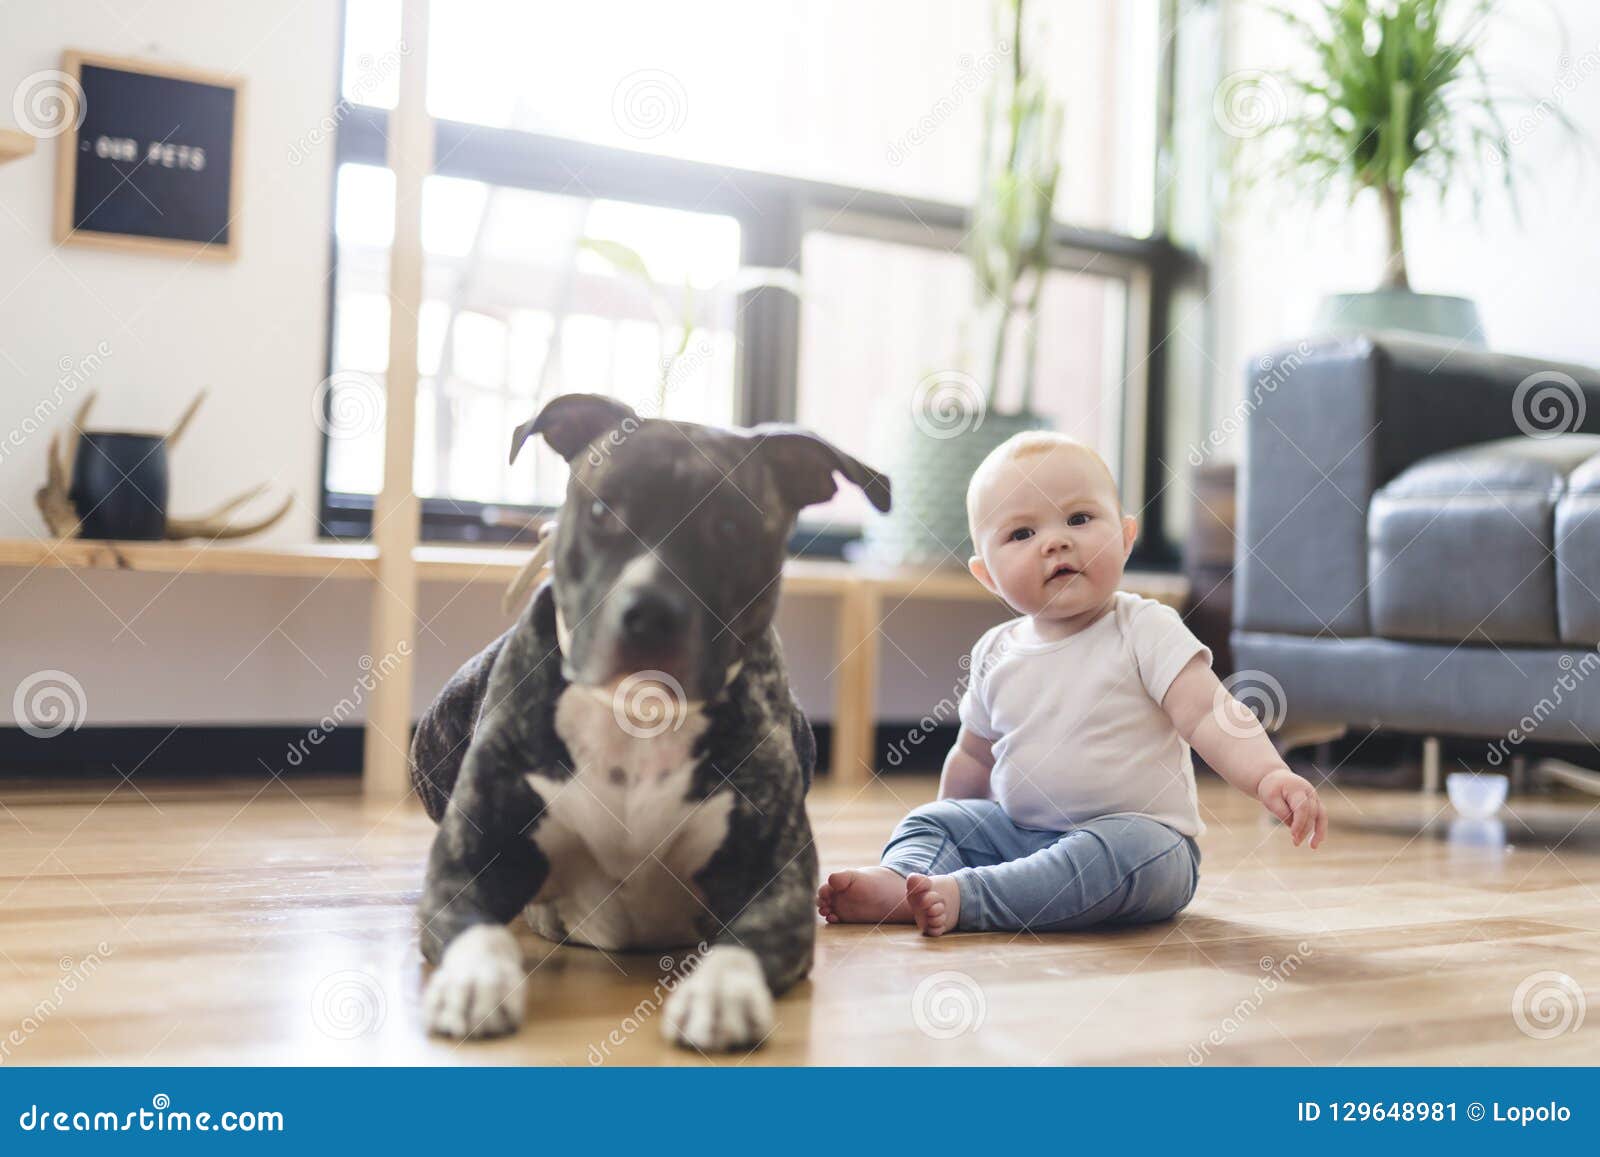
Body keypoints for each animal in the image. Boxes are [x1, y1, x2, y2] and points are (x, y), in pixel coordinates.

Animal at [409, 393, 889, 1056]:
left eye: (731, 528)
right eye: (603, 511)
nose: (651, 612)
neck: (639, 710)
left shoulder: (776, 886)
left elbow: (742, 944)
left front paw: (721, 993)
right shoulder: (466, 866)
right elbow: (477, 929)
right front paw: (474, 981)